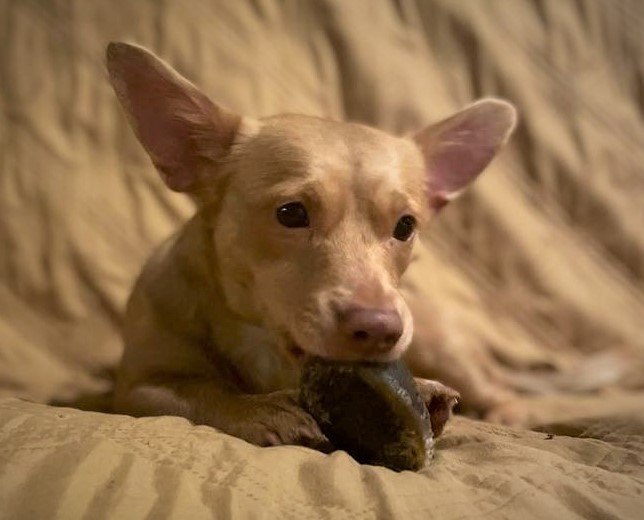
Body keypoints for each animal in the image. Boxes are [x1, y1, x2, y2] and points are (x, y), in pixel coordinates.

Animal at [105, 41, 520, 446]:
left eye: (406, 226)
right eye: (291, 213)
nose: (380, 329)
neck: (257, 336)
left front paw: (422, 391)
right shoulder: (137, 389)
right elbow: (205, 394)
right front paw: (260, 409)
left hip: (444, 348)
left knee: (502, 388)